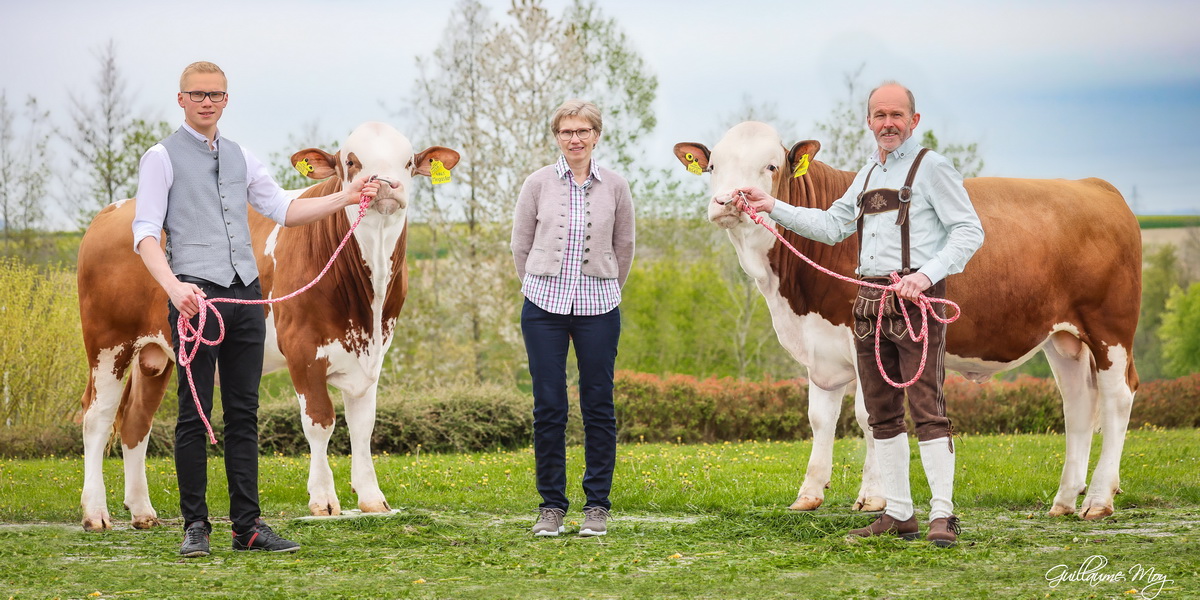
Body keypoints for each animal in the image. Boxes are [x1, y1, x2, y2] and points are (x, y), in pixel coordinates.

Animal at [76, 121, 458, 530]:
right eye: (352, 161)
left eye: (408, 161)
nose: (386, 184)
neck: (368, 300)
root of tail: (116, 210)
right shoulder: (303, 349)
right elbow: (320, 421)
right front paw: (323, 499)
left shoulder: (373, 353)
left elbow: (363, 425)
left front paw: (372, 499)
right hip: (108, 343)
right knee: (97, 417)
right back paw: (96, 513)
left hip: (158, 353)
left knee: (136, 421)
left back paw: (142, 511)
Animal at [676, 119, 1142, 518]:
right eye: (713, 166)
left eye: (771, 165)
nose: (726, 202)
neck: (790, 295)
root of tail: (1095, 185)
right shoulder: (820, 345)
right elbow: (820, 417)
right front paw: (809, 494)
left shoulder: (861, 336)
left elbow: (868, 415)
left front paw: (873, 496)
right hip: (1062, 339)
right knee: (1078, 404)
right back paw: (1064, 500)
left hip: (1110, 328)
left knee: (1118, 397)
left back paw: (1098, 499)